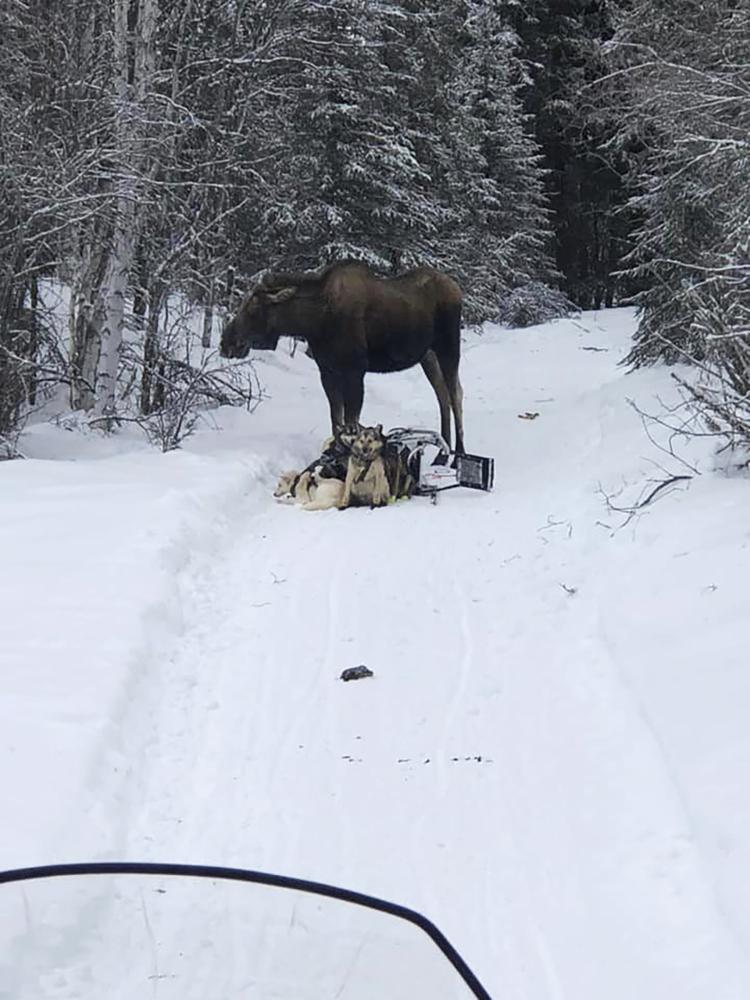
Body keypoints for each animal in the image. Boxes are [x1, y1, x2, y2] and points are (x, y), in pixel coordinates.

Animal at [219, 264, 464, 456]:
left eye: (253, 307)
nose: (226, 342)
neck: (314, 321)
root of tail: (457, 288)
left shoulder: (355, 371)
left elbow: (350, 422)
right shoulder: (327, 371)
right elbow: (336, 420)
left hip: (449, 347)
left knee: (455, 394)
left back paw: (458, 453)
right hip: (428, 355)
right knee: (442, 394)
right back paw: (444, 448)